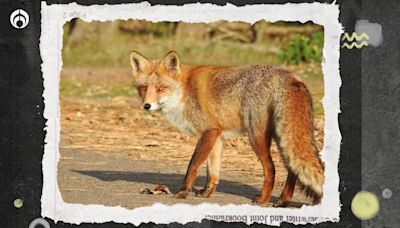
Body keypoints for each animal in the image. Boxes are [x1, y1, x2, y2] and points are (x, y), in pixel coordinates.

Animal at [130, 50, 324, 208]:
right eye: (143, 88)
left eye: (161, 88)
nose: (146, 105)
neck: (185, 90)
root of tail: (289, 76)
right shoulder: (217, 135)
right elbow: (212, 171)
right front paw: (206, 193)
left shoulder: (208, 131)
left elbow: (193, 165)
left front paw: (183, 191)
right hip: (280, 136)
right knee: (293, 169)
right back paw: (283, 201)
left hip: (257, 137)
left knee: (271, 169)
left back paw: (263, 200)